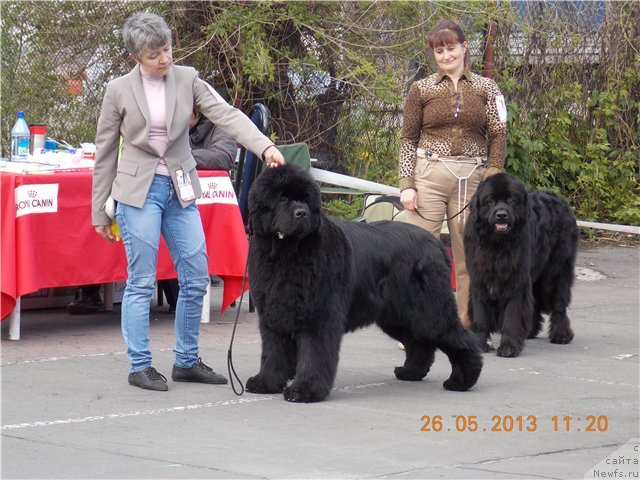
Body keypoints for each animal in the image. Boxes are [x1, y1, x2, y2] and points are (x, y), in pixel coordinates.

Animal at [245, 164, 480, 402]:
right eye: (283, 199)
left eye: (305, 200)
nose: (301, 213)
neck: (287, 254)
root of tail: (436, 244)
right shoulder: (273, 314)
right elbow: (273, 352)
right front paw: (266, 382)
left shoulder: (319, 315)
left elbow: (313, 354)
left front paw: (305, 390)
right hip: (398, 315)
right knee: (418, 342)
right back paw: (411, 372)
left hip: (429, 310)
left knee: (458, 337)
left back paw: (462, 380)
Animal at [462, 172, 576, 356]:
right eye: (490, 201)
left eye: (511, 200)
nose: (501, 215)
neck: (496, 244)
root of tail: (558, 198)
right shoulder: (479, 279)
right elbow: (480, 315)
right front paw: (479, 344)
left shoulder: (516, 280)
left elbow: (512, 314)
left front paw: (509, 347)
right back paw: (530, 332)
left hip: (557, 271)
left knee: (559, 303)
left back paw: (561, 335)